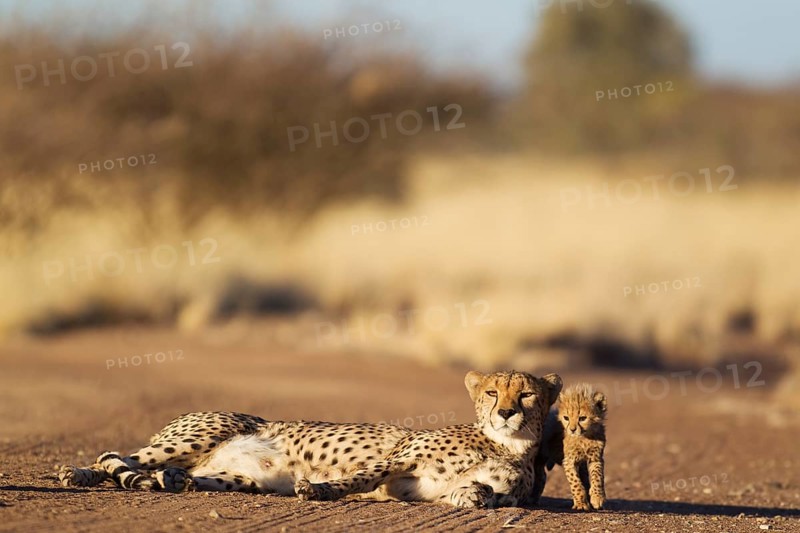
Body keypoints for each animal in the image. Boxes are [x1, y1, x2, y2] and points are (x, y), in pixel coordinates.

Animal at [57, 370, 561, 509]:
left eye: (527, 393)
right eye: (494, 391)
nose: (507, 412)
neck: (505, 444)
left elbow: (479, 493)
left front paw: (475, 493)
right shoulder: (398, 461)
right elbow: (359, 478)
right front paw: (318, 489)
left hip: (242, 478)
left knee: (178, 474)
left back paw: (174, 481)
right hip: (204, 431)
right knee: (114, 457)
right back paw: (75, 473)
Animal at [530, 383, 607, 511]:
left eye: (582, 418)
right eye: (566, 418)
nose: (572, 429)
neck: (584, 437)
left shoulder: (595, 458)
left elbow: (597, 477)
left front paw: (597, 497)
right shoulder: (569, 461)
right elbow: (576, 482)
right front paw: (581, 504)